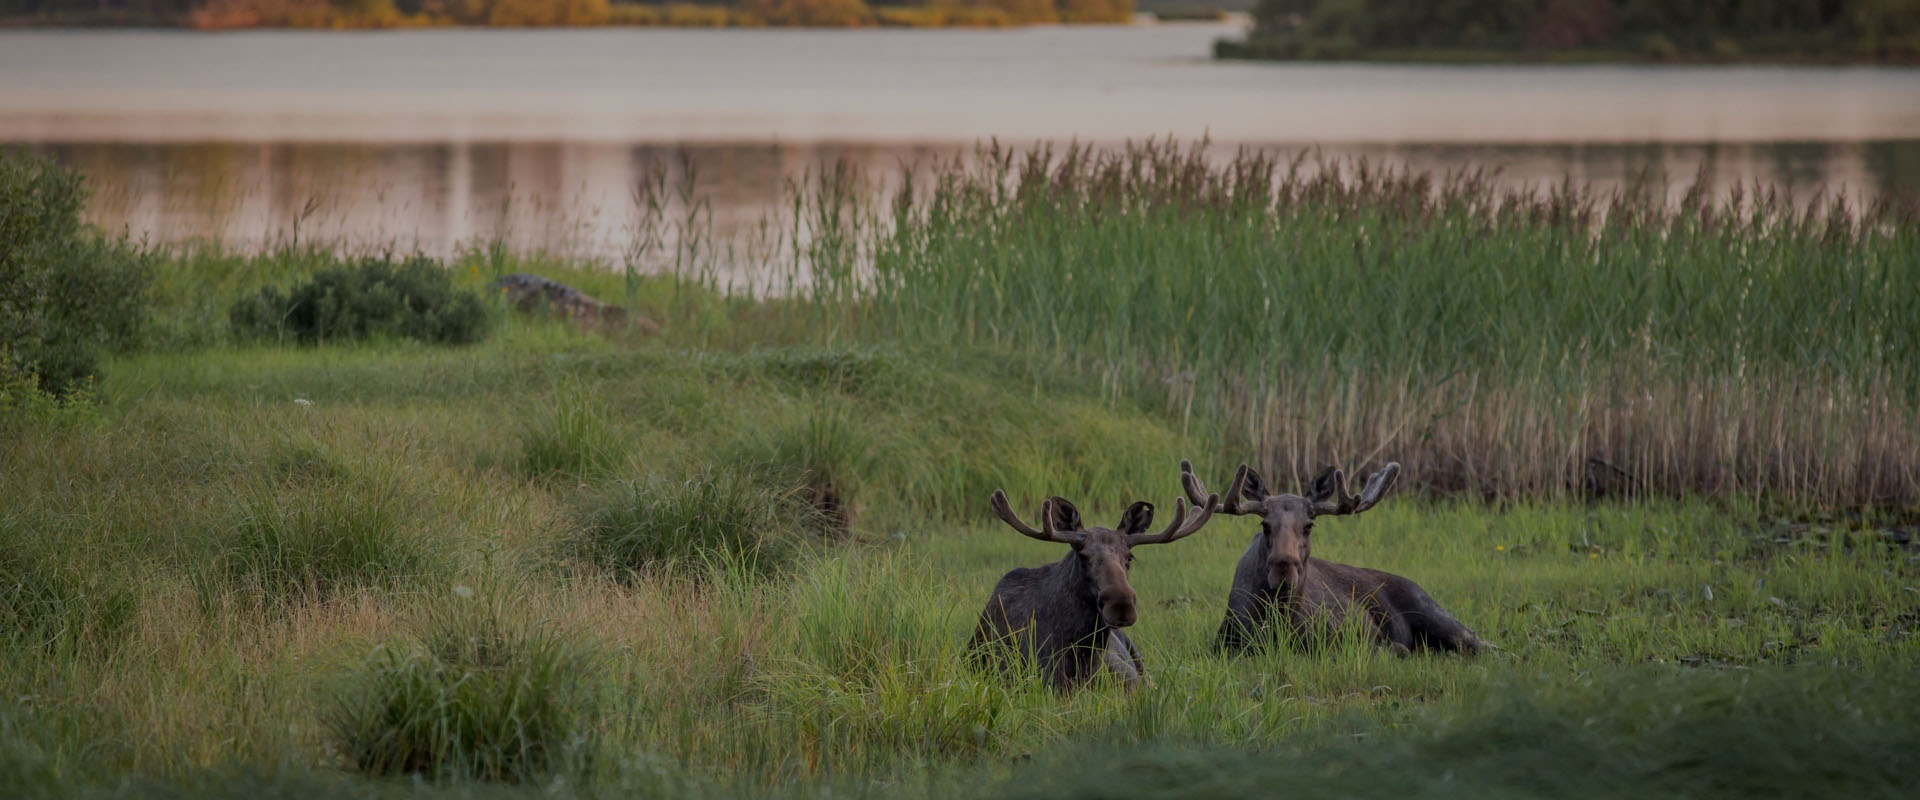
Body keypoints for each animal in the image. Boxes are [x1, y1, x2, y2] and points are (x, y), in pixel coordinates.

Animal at [1175, 458, 1489, 656]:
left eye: (1309, 525)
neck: (1281, 622)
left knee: (1479, 641)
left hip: (1433, 611)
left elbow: (1392, 648)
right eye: (1265, 525)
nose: (1283, 566)